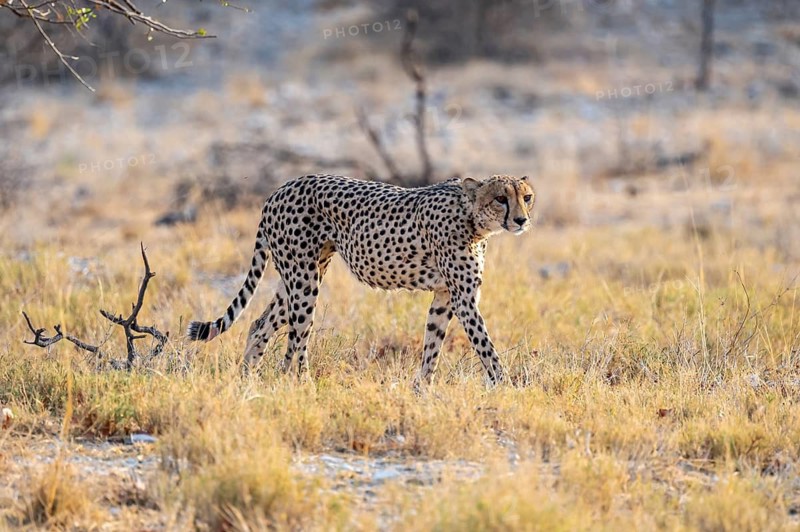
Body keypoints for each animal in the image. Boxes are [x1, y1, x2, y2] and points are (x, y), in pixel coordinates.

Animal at [187, 173, 535, 385]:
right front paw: (506, 386)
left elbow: (433, 344)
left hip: (302, 274)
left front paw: (422, 389)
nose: (521, 220)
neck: (472, 218)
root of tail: (281, 188)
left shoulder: (445, 295)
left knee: (261, 324)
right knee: (296, 338)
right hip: (304, 279)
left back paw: (248, 377)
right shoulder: (463, 298)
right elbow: (485, 346)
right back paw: (300, 383)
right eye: (501, 198)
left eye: (527, 197)